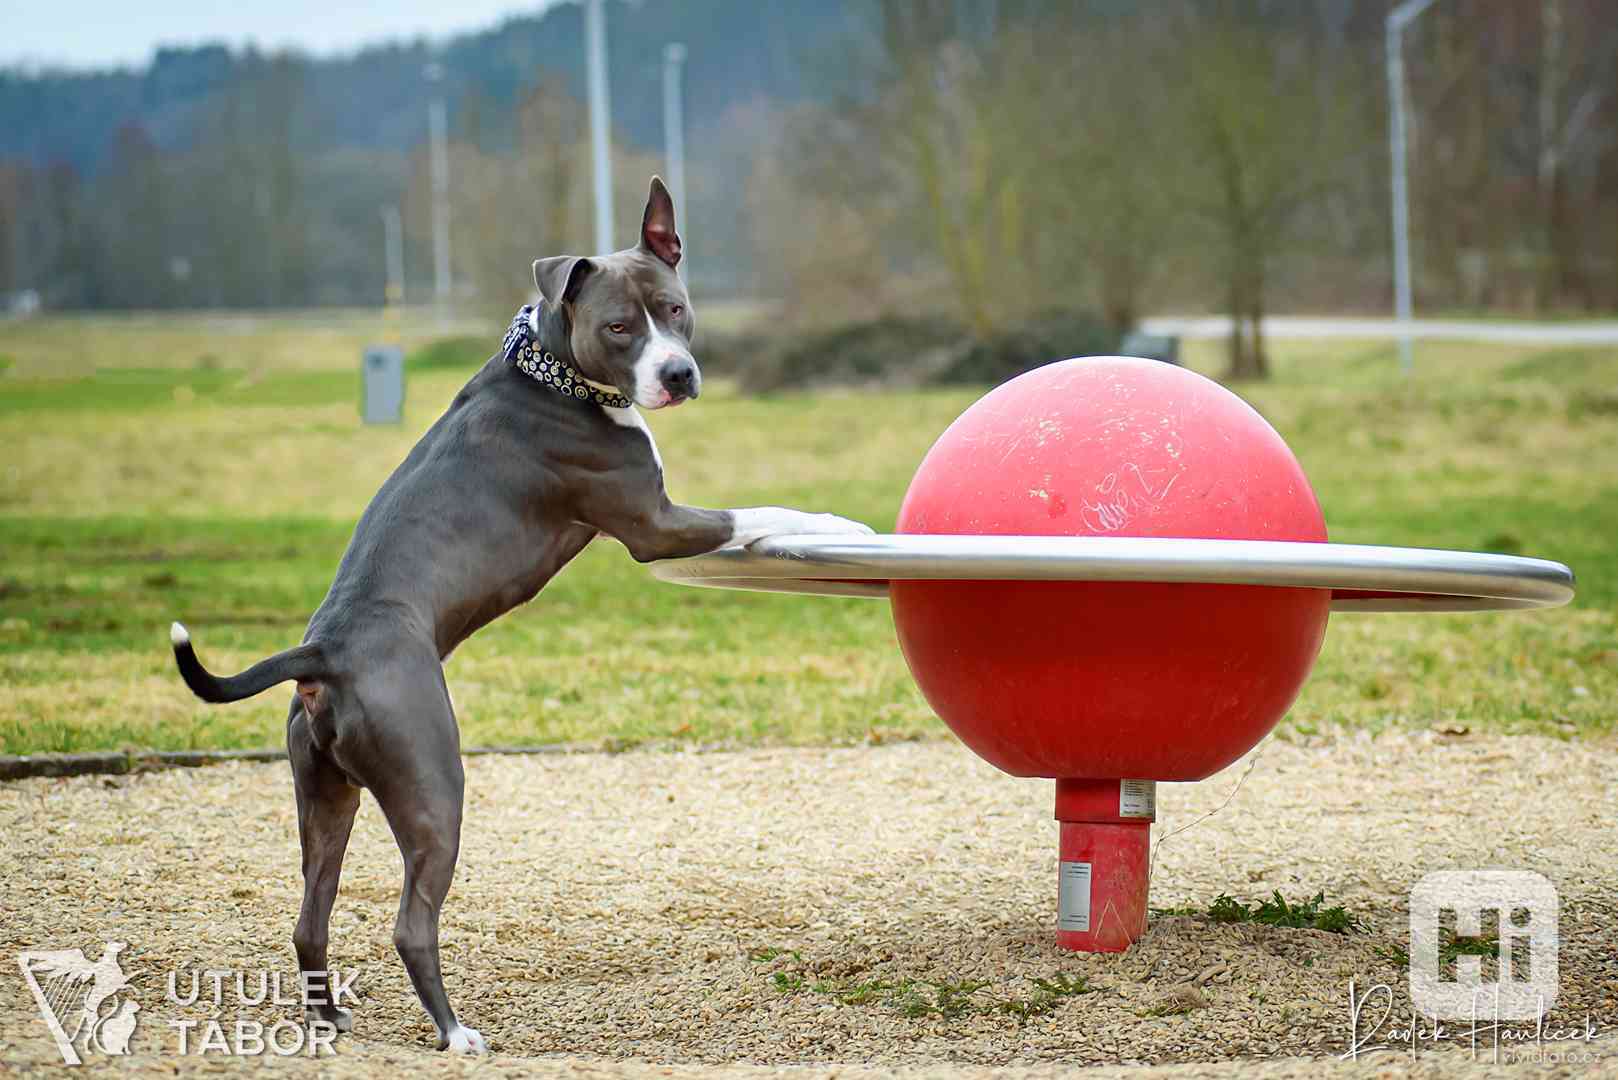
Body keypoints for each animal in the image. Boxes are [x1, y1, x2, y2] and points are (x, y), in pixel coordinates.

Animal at [172, 179, 873, 1055]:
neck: (554, 372)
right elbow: (763, 509)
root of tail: (322, 653)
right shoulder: (656, 524)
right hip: (432, 783)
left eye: (675, 310)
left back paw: (331, 1020)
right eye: (619, 327)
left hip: (326, 795)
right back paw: (454, 1033)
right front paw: (843, 524)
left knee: (311, 915)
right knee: (411, 922)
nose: (678, 373)